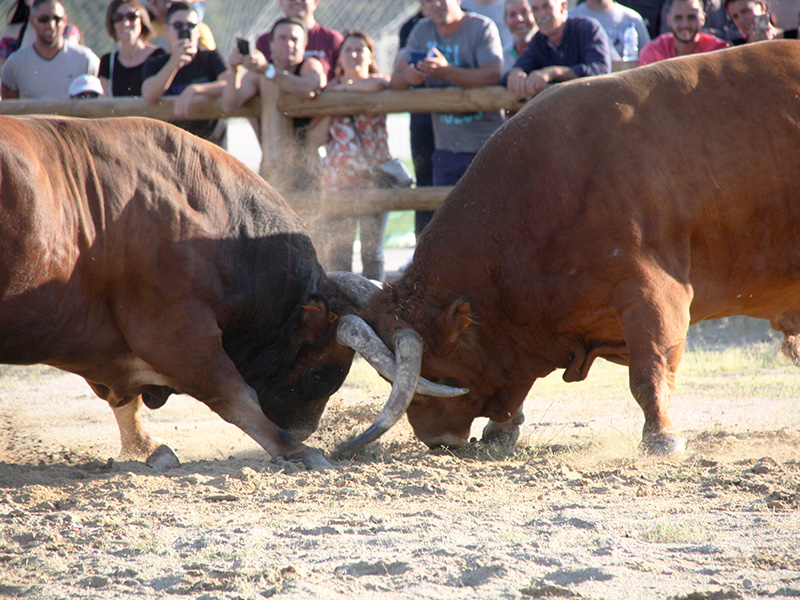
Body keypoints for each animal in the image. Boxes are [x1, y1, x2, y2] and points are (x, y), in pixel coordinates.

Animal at [354, 41, 800, 454]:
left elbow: (649, 371)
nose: (435, 440)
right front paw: (502, 427)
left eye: (437, 371)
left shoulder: (652, 292)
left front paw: (661, 437)